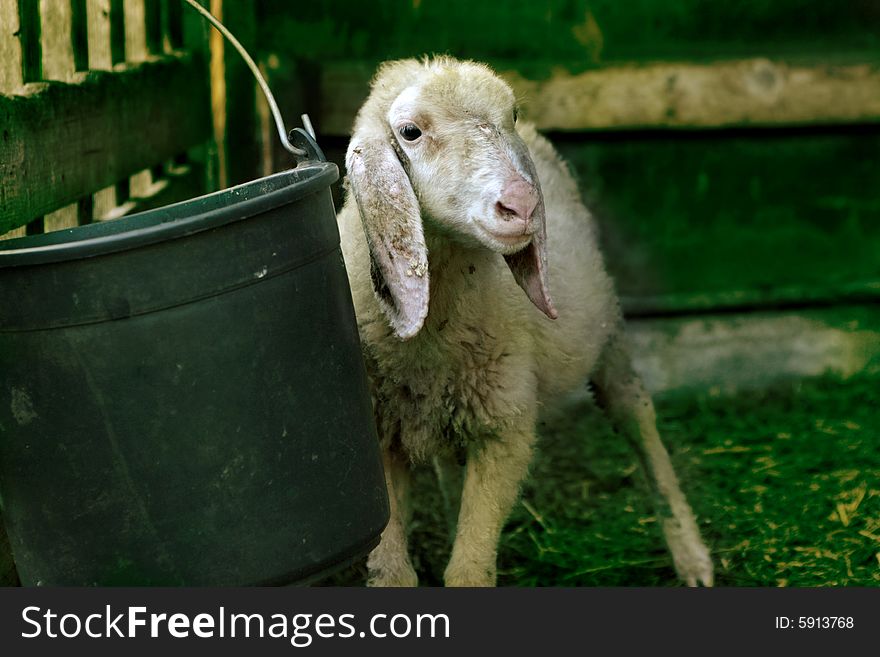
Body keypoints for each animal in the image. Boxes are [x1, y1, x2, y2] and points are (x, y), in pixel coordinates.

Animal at [336, 55, 716, 584]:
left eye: (509, 115)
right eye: (410, 132)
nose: (523, 204)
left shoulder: (507, 427)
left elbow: (469, 572)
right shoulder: (380, 434)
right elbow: (393, 573)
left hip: (609, 335)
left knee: (639, 420)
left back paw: (691, 553)